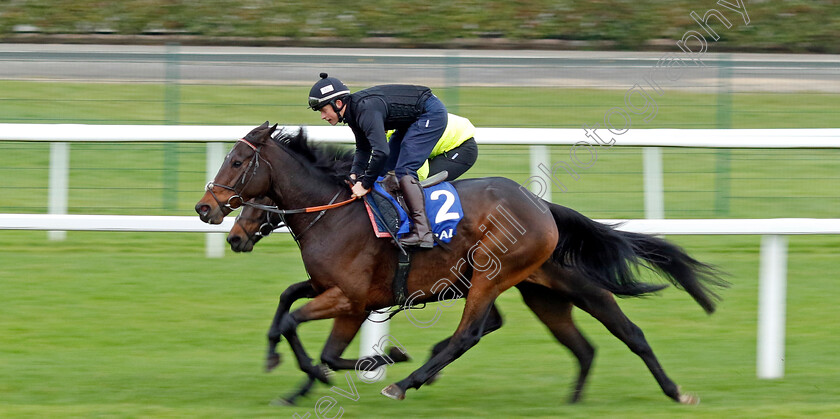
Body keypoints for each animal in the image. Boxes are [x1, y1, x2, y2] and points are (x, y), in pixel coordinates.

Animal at [195, 123, 720, 406]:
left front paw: (382, 360)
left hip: (505, 278)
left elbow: (310, 337)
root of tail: (543, 207)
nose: (208, 211)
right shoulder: (330, 289)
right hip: (543, 291)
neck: (335, 212)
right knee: (587, 343)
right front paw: (284, 371)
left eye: (237, 162)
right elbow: (288, 304)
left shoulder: (352, 300)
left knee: (477, 333)